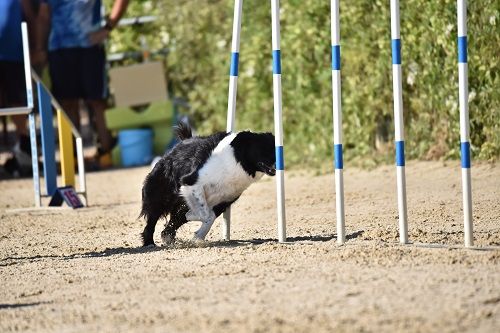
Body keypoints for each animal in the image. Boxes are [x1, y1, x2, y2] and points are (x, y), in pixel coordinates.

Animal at [139, 123, 276, 245]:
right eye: (264, 148)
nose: (278, 164)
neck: (236, 160)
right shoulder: (191, 183)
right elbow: (205, 215)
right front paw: (193, 221)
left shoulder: (223, 201)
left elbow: (209, 217)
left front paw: (197, 237)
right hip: (161, 197)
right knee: (151, 222)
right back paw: (149, 243)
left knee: (173, 221)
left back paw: (168, 237)